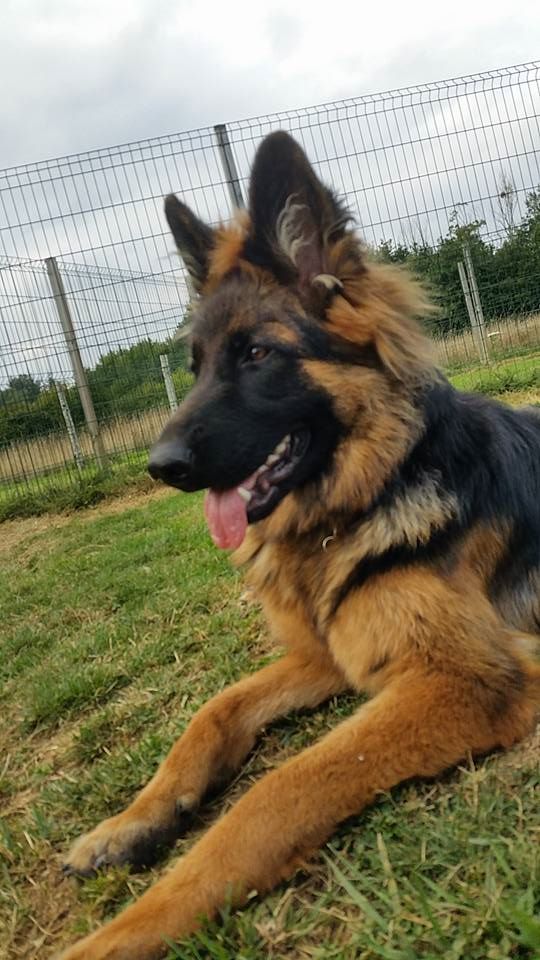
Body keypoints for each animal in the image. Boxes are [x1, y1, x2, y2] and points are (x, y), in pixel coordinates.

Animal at [60, 129, 540, 960]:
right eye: (195, 366)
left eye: (257, 354)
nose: (160, 466)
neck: (353, 505)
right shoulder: (325, 653)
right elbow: (213, 712)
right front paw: (129, 824)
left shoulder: (471, 678)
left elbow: (276, 793)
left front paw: (124, 930)